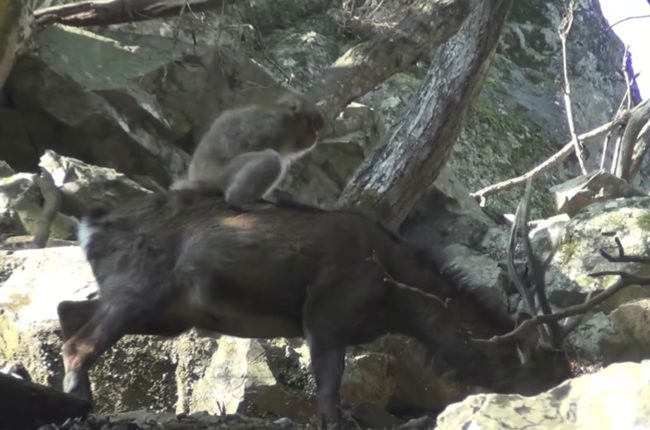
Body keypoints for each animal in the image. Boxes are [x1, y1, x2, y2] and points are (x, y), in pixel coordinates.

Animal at [171, 92, 325, 209]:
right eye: (314, 125)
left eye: (317, 127)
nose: (316, 136)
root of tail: (196, 179)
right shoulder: (271, 126)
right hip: (218, 176)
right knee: (272, 159)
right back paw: (237, 200)